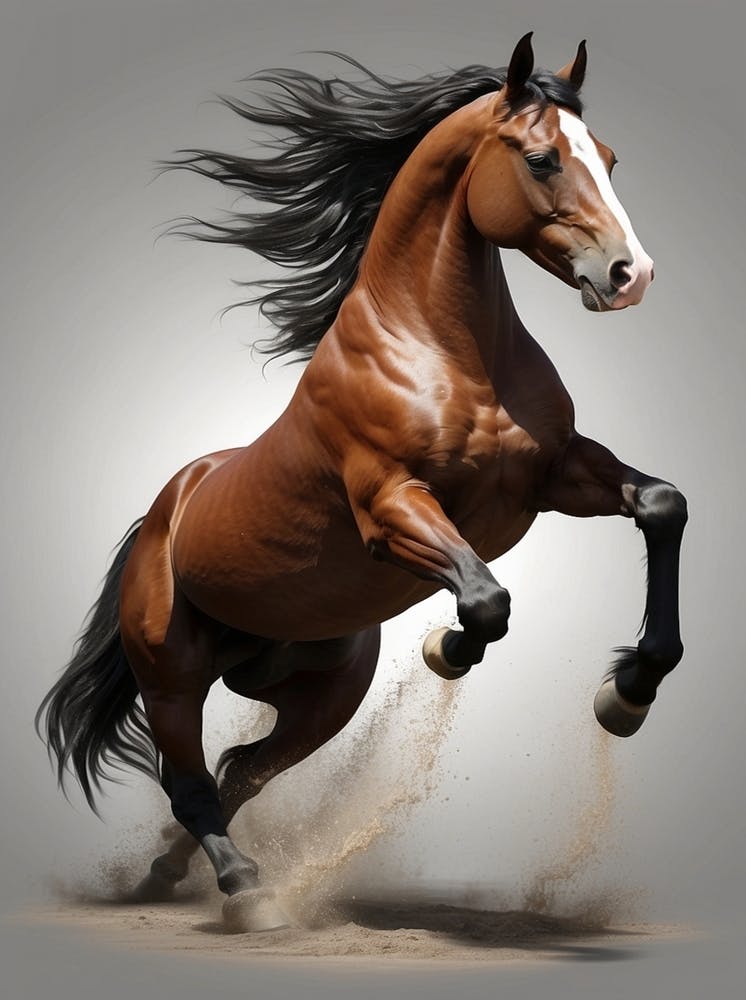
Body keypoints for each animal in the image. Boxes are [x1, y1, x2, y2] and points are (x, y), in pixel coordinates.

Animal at [36, 34, 687, 932]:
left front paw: (626, 694)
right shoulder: (393, 508)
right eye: (543, 158)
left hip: (321, 695)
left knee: (237, 770)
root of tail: (165, 508)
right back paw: (248, 892)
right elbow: (487, 600)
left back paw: (170, 877)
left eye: (612, 158)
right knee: (192, 782)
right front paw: (447, 650)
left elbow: (662, 504)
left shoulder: (556, 475)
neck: (445, 351)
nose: (633, 275)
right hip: (170, 676)